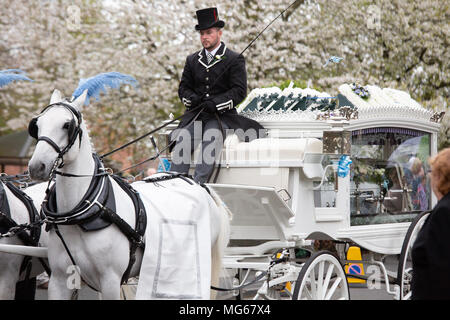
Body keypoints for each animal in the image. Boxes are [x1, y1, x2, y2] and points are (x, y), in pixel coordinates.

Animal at [28, 88, 230, 300]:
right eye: (37, 125)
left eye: (67, 125)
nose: (36, 167)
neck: (84, 212)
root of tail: (198, 184)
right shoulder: (60, 280)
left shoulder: (110, 281)